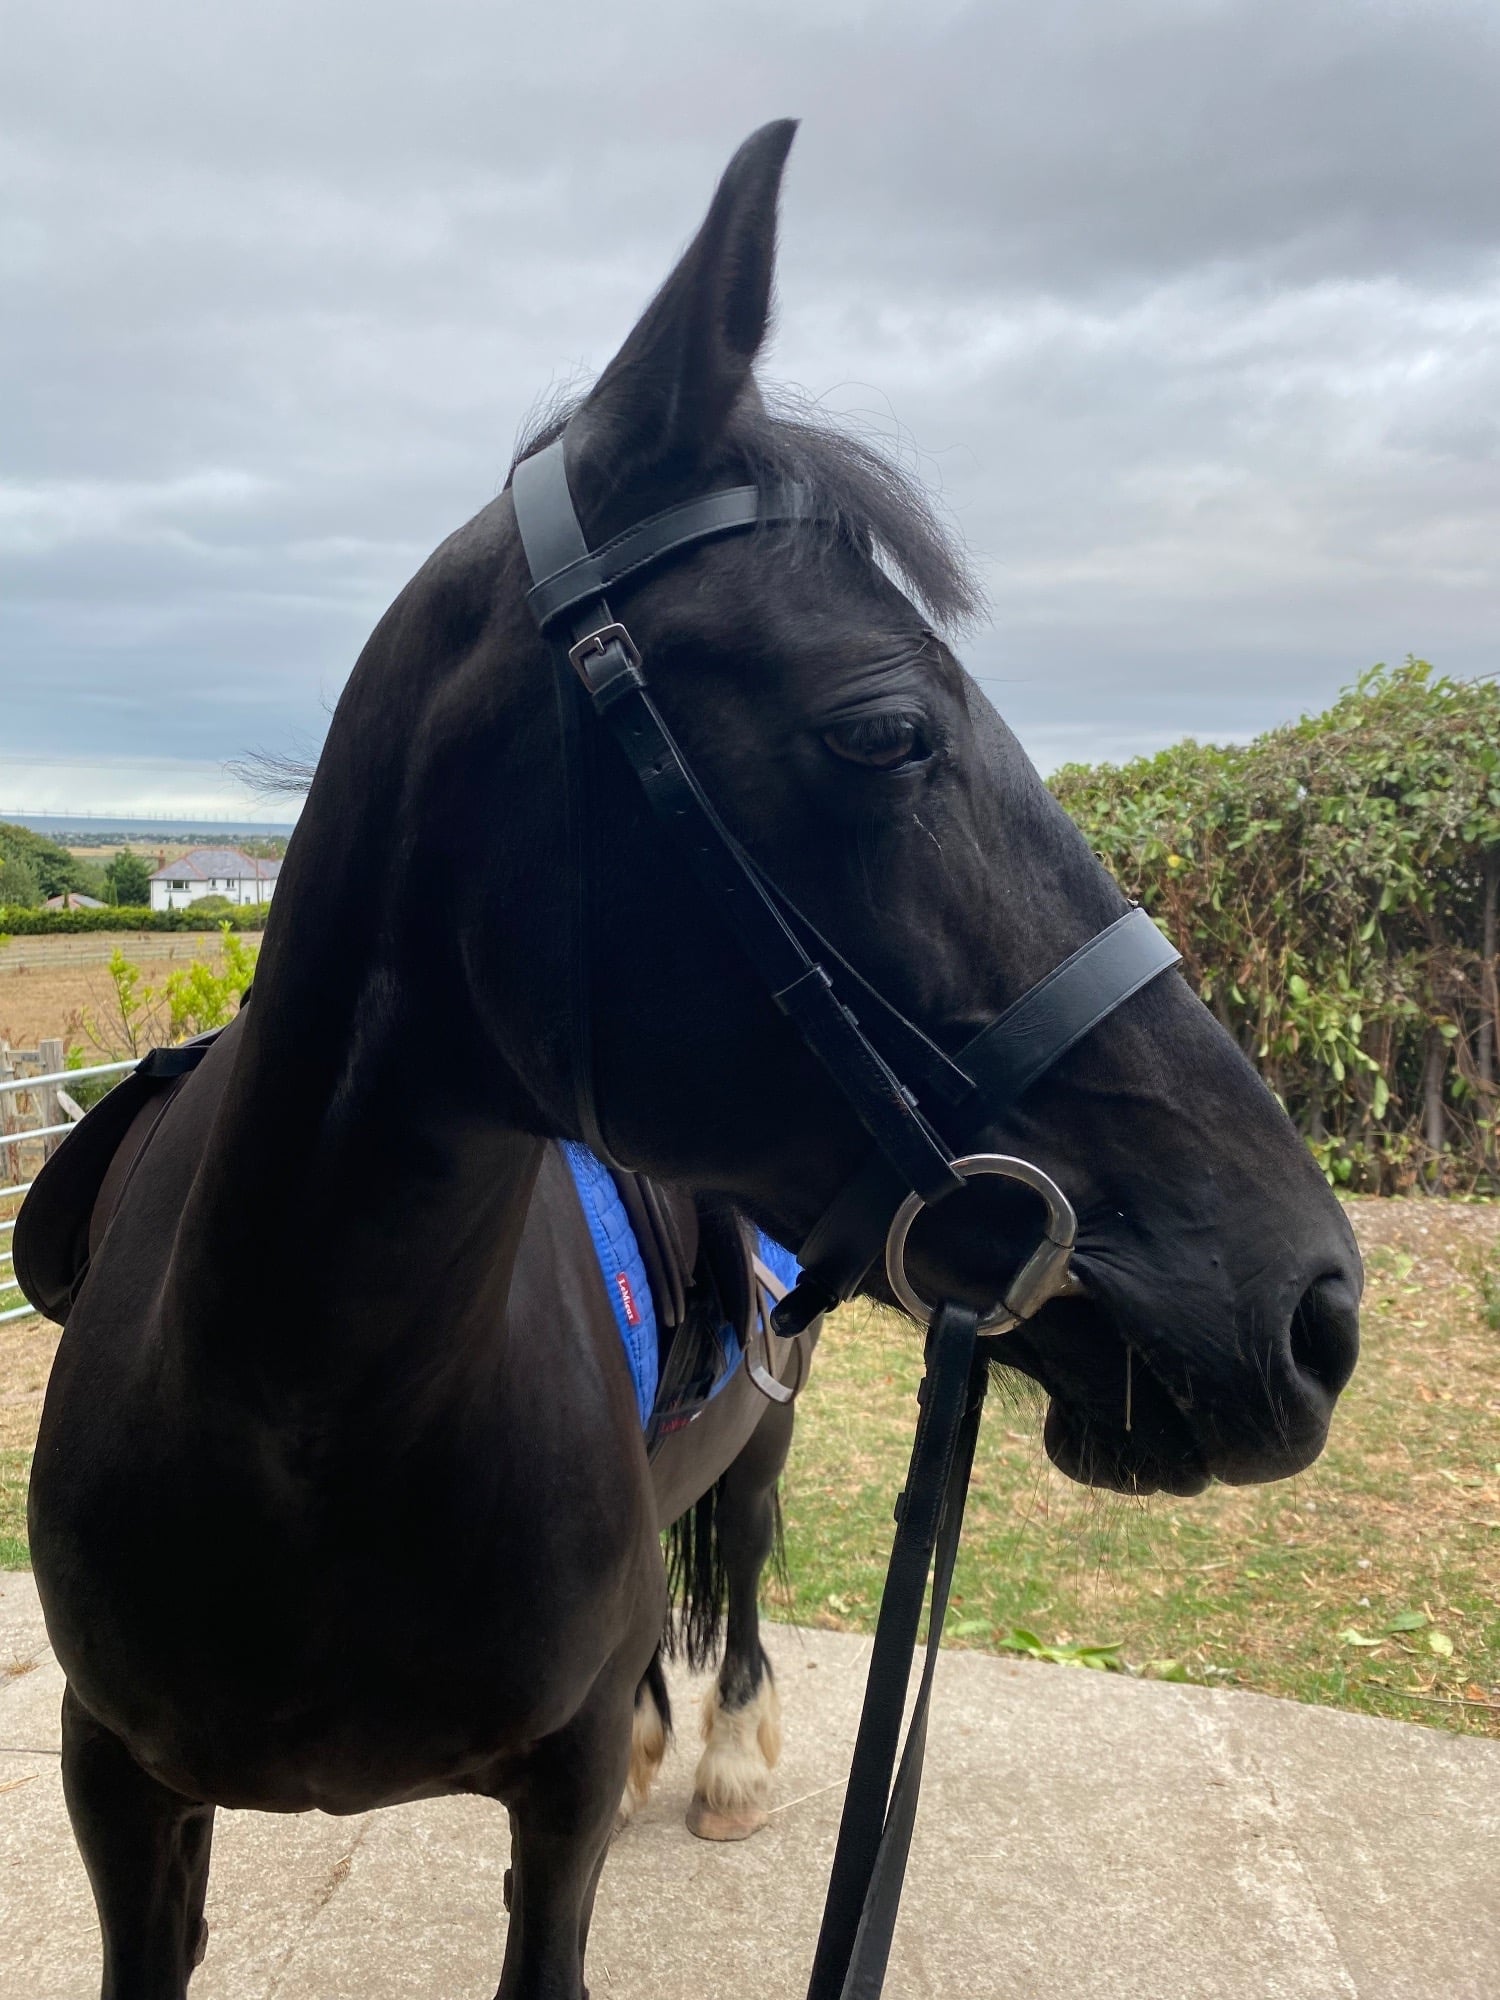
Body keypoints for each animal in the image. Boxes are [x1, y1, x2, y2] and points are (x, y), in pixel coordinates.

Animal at [23, 119, 1361, 2000]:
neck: (293, 1402)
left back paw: (721, 1749)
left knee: (733, 1547)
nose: (1318, 1304)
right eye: (885, 732)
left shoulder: (557, 1800)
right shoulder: (122, 1799)